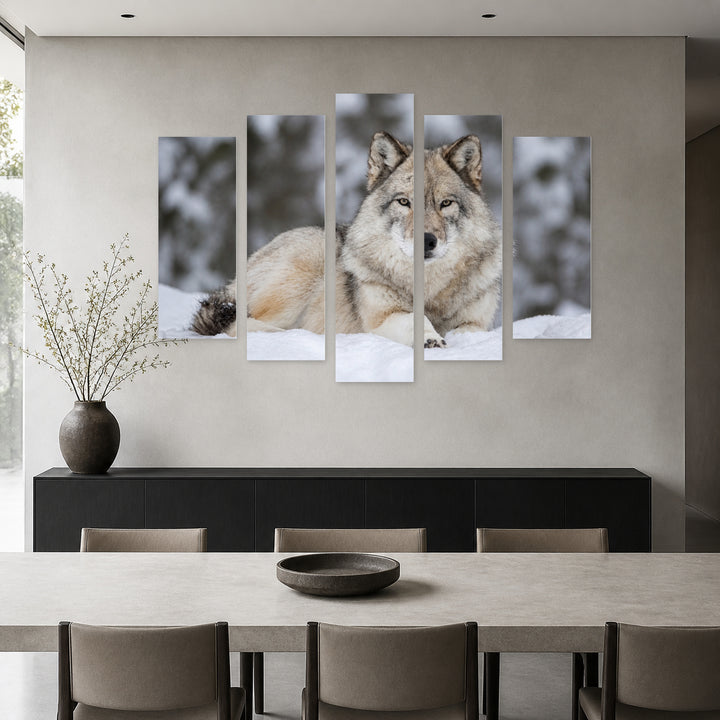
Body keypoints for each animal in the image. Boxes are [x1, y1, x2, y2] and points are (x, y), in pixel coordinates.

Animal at [192, 131, 501, 348]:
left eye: (445, 203)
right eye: (404, 202)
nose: (426, 241)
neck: (430, 288)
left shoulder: (476, 323)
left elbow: (468, 330)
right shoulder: (381, 319)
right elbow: (416, 319)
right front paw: (430, 337)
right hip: (309, 257)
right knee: (238, 327)